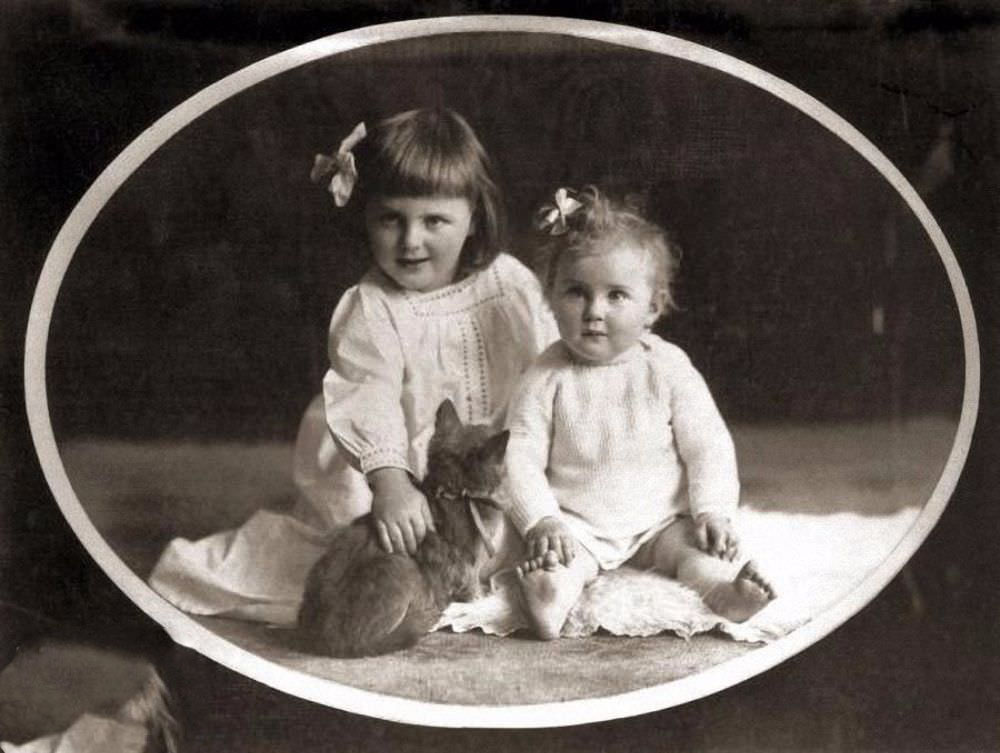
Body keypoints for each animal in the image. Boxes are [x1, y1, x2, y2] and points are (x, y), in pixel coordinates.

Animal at [296, 396, 508, 656]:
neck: (455, 493)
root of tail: (324, 639)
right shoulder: (468, 564)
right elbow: (472, 587)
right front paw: (481, 599)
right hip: (401, 565)